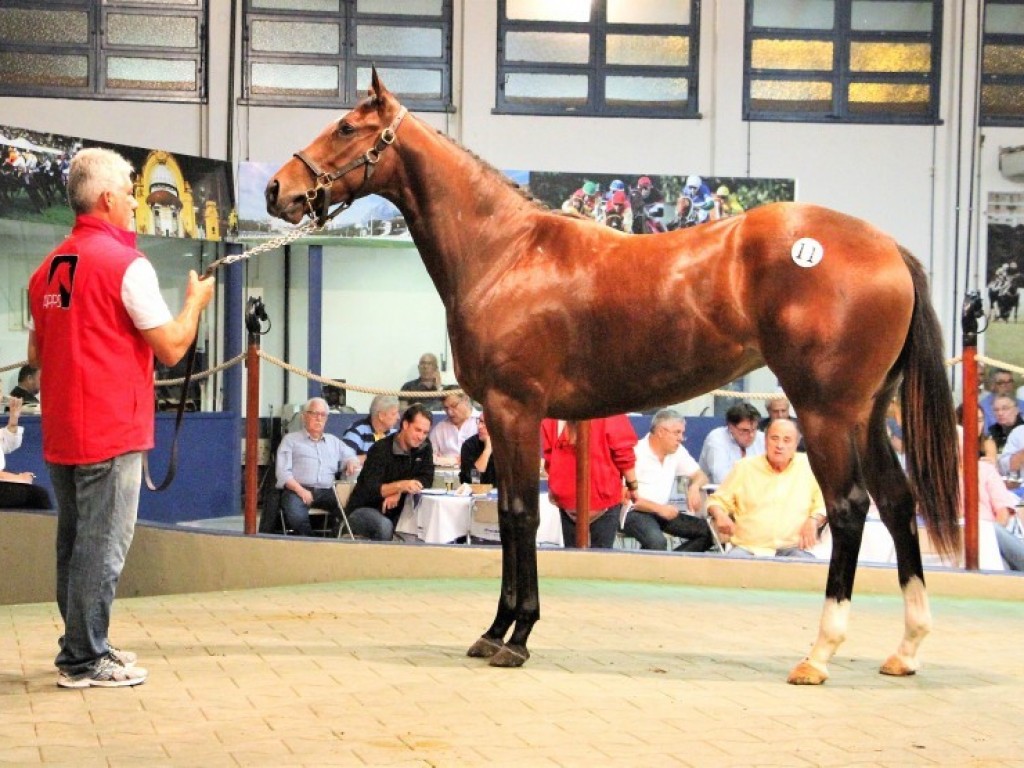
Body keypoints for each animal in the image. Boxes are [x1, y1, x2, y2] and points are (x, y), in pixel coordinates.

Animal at [266, 72, 958, 684]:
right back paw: (907, 649)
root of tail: (888, 248)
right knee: (899, 504)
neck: (505, 252)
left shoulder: (515, 408)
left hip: (827, 412)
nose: (278, 189)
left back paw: (819, 654)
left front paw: (516, 637)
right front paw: (495, 631)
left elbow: (521, 513)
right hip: (869, 414)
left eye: (346, 126)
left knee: (850, 510)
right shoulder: (503, 414)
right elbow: (511, 514)